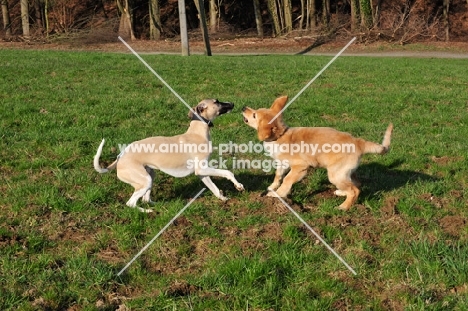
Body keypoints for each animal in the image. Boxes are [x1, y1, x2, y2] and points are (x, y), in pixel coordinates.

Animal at [243, 96, 394, 211]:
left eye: (255, 115)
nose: (243, 107)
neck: (280, 136)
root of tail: (359, 142)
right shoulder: (282, 164)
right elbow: (278, 176)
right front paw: (271, 188)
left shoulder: (300, 168)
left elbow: (286, 180)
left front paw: (278, 194)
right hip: (345, 172)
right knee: (357, 184)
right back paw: (341, 193)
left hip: (335, 174)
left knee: (354, 190)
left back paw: (343, 207)